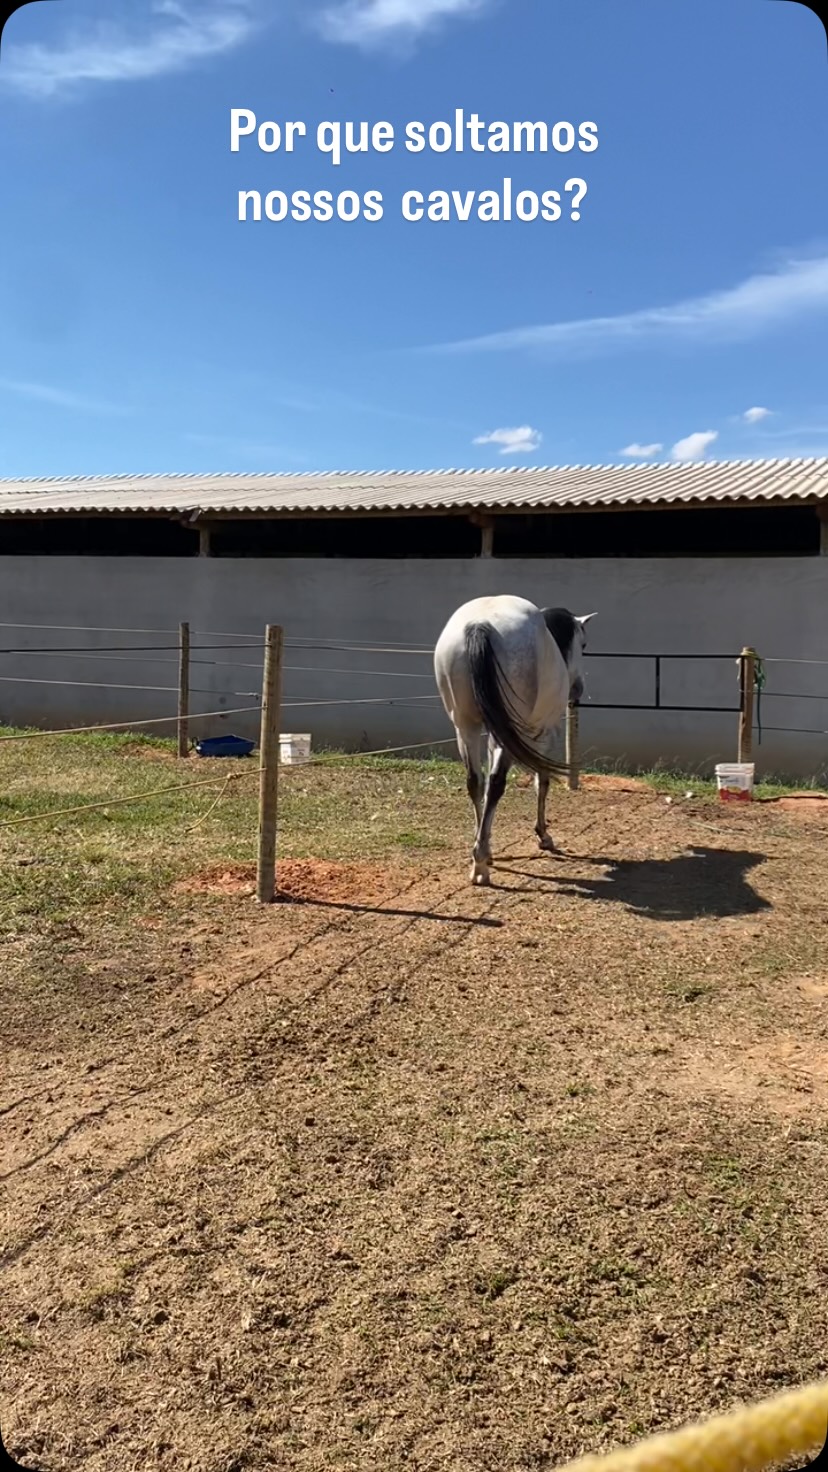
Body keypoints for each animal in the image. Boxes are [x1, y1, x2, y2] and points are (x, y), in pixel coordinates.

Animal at [433, 595, 596, 886]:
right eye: (584, 644)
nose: (577, 689)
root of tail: (479, 624)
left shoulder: (493, 734)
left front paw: (487, 842)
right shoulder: (543, 732)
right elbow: (542, 781)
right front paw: (543, 835)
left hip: (466, 727)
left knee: (476, 782)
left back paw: (481, 852)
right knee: (497, 783)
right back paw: (480, 865)